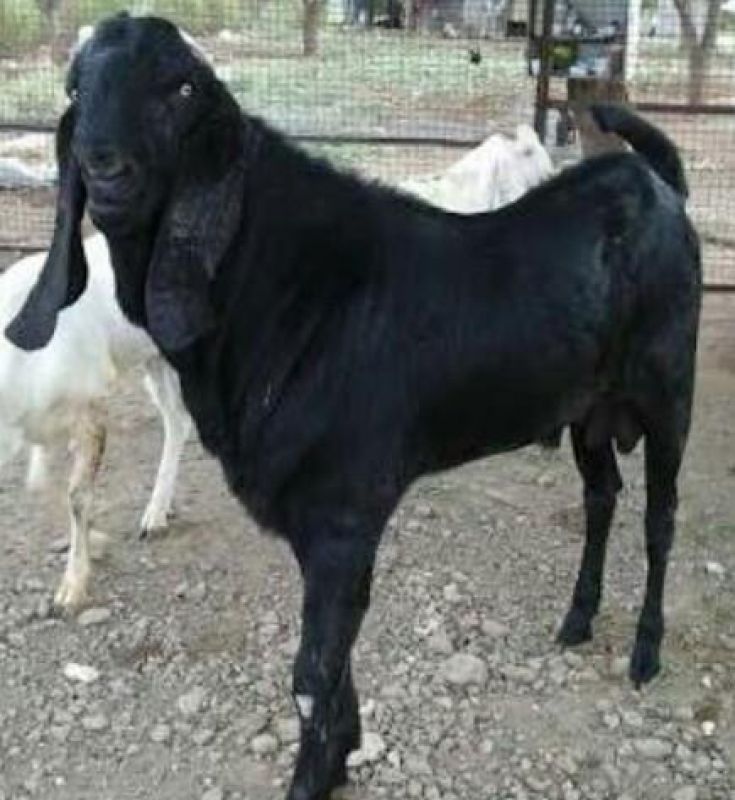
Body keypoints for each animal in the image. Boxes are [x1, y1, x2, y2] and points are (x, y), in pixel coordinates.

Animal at [1, 233, 190, 611]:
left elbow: (76, 496)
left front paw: (72, 589)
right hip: (154, 357)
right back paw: (155, 516)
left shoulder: (89, 406)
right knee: (176, 420)